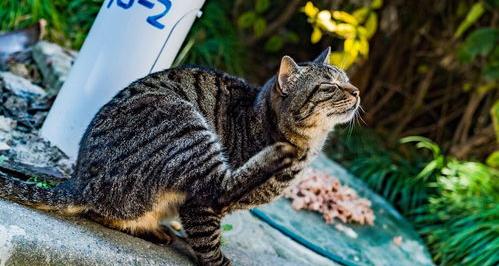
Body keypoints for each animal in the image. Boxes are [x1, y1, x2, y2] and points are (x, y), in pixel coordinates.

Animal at [0, 47, 360, 264]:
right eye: (330, 86)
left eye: (347, 80)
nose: (356, 91)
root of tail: (79, 179)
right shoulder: (199, 205)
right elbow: (208, 236)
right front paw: (218, 260)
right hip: (185, 125)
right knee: (215, 188)